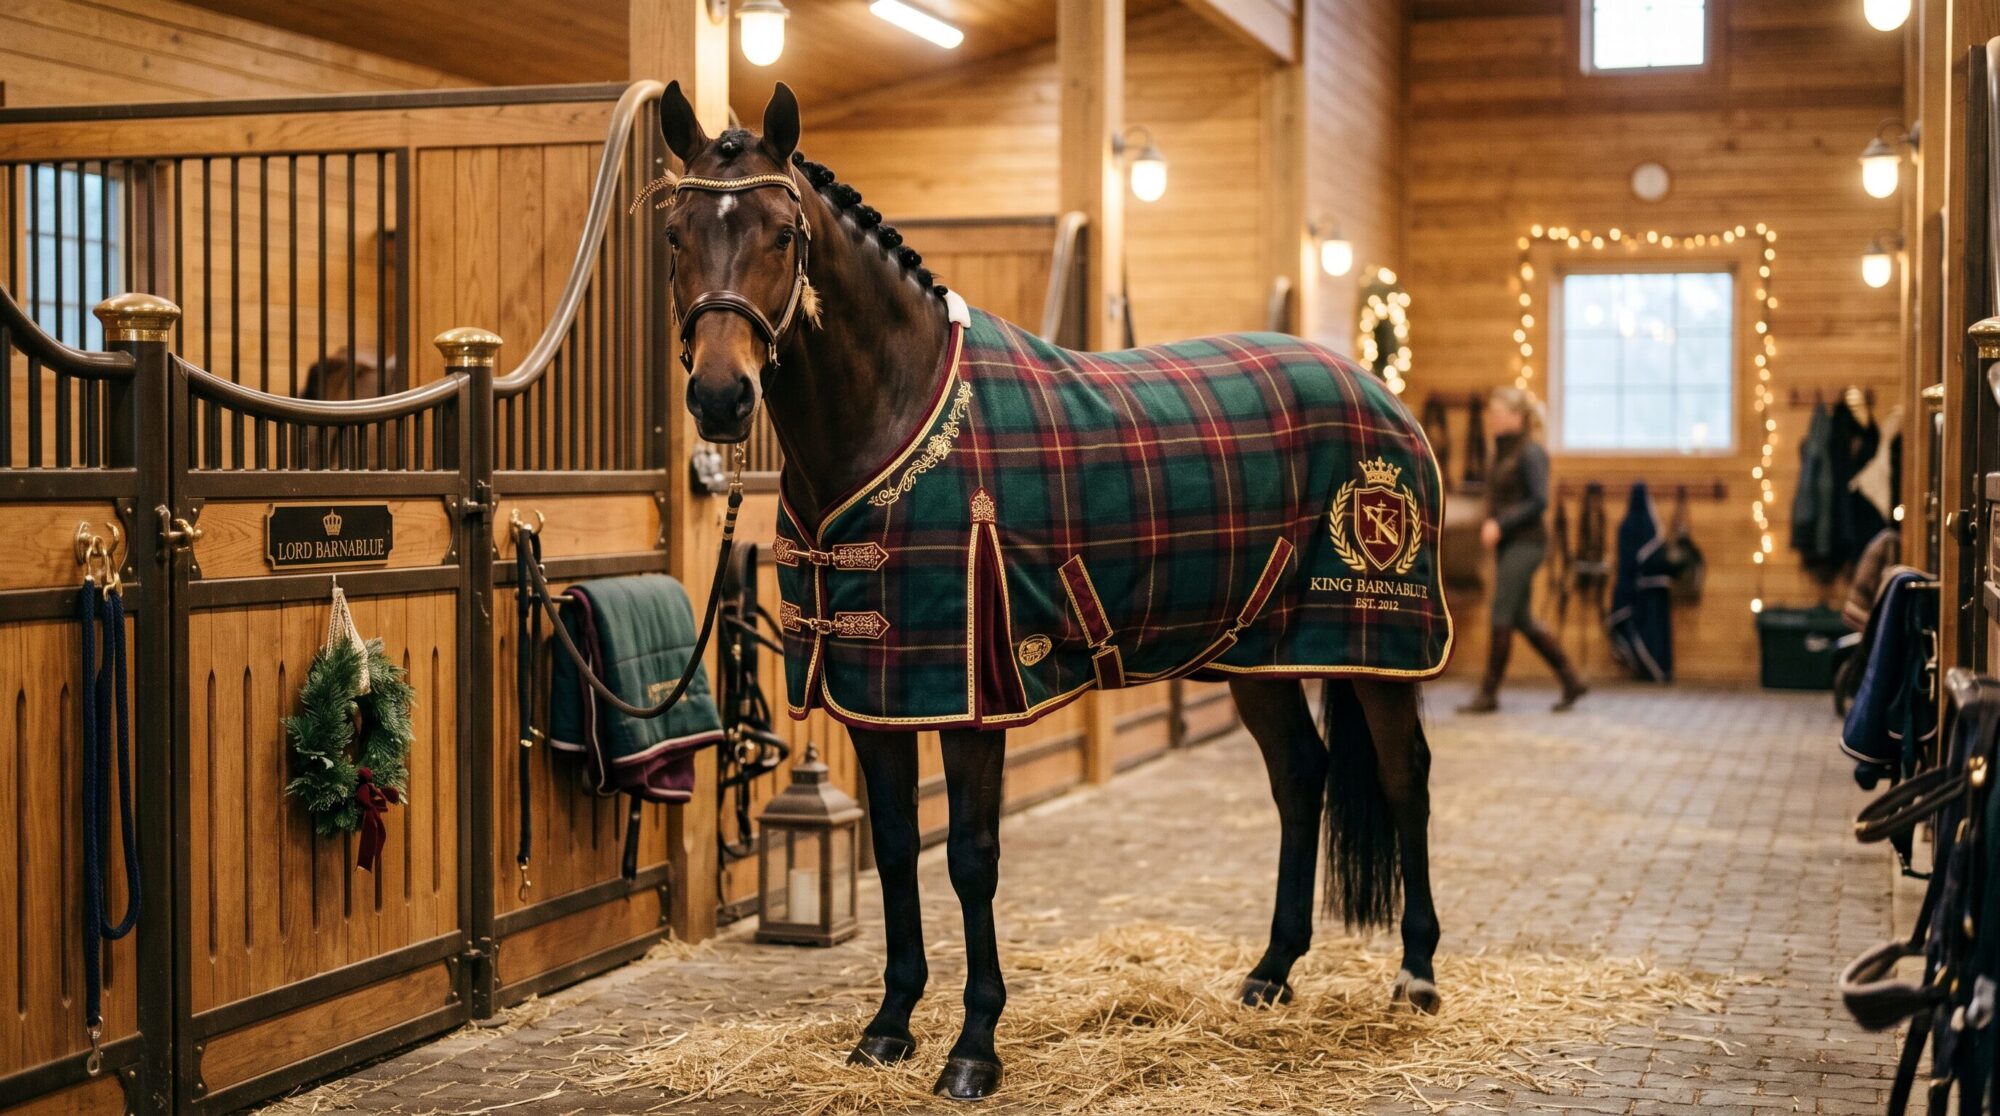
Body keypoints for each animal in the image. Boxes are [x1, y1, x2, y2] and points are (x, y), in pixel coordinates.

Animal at [658, 81, 1447, 1102]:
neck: (894, 417)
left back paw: (1416, 975)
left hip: (1376, 647)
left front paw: (973, 1046)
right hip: (1257, 657)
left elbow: (970, 858)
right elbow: (896, 848)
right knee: (1299, 778)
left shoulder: (972, 698)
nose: (722, 398)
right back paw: (1271, 973)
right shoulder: (876, 695)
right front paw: (888, 1027)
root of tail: (1379, 389)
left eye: (785, 234)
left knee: (1404, 780)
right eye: (675, 233)